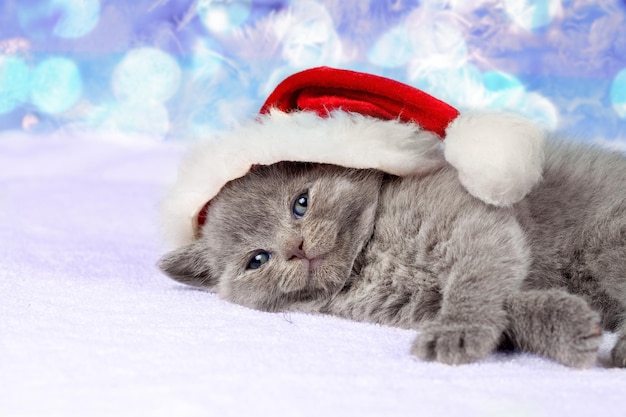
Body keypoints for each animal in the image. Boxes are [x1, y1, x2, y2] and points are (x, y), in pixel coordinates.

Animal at [160, 138, 624, 366]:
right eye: (257, 260)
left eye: (301, 203)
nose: (296, 247)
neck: (369, 255)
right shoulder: (420, 301)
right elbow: (509, 305)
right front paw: (569, 326)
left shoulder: (472, 224)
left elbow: (475, 281)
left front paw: (456, 332)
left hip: (607, 245)